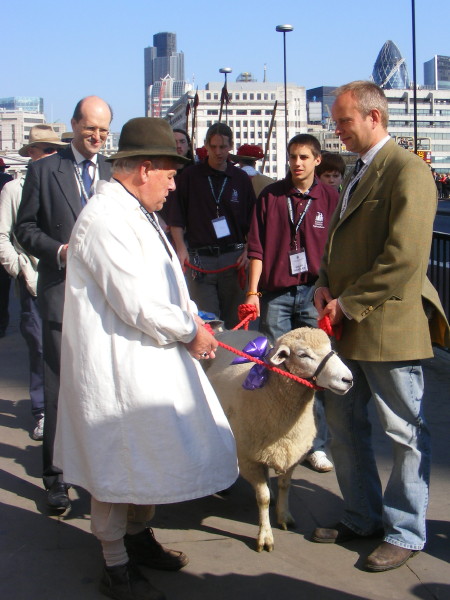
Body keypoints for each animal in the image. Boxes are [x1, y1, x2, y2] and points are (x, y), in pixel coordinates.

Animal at [206, 328, 354, 552]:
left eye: (331, 348)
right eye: (303, 355)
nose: (348, 379)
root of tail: (228, 331)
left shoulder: (292, 452)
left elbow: (285, 486)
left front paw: (284, 516)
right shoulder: (248, 459)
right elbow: (263, 498)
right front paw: (265, 536)